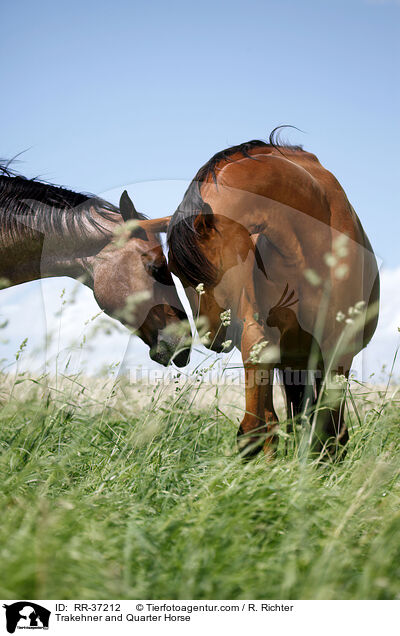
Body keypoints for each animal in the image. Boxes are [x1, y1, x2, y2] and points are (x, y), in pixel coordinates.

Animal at [167, 130, 380, 458]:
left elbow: (328, 421)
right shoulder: (264, 334)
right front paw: (255, 447)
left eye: (201, 274)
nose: (210, 336)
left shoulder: (339, 345)